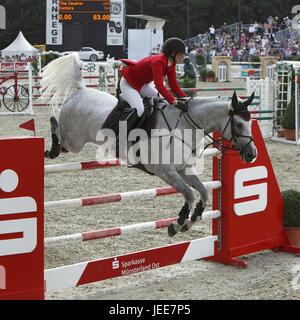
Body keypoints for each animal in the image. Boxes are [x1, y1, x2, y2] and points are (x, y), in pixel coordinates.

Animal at [39, 53, 256, 238]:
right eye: (238, 124)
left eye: (250, 122)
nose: (252, 154)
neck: (184, 126)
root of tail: (82, 90)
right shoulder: (165, 171)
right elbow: (188, 193)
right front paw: (178, 223)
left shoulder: (184, 169)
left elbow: (202, 192)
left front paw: (191, 220)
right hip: (74, 141)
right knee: (57, 129)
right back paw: (50, 148)